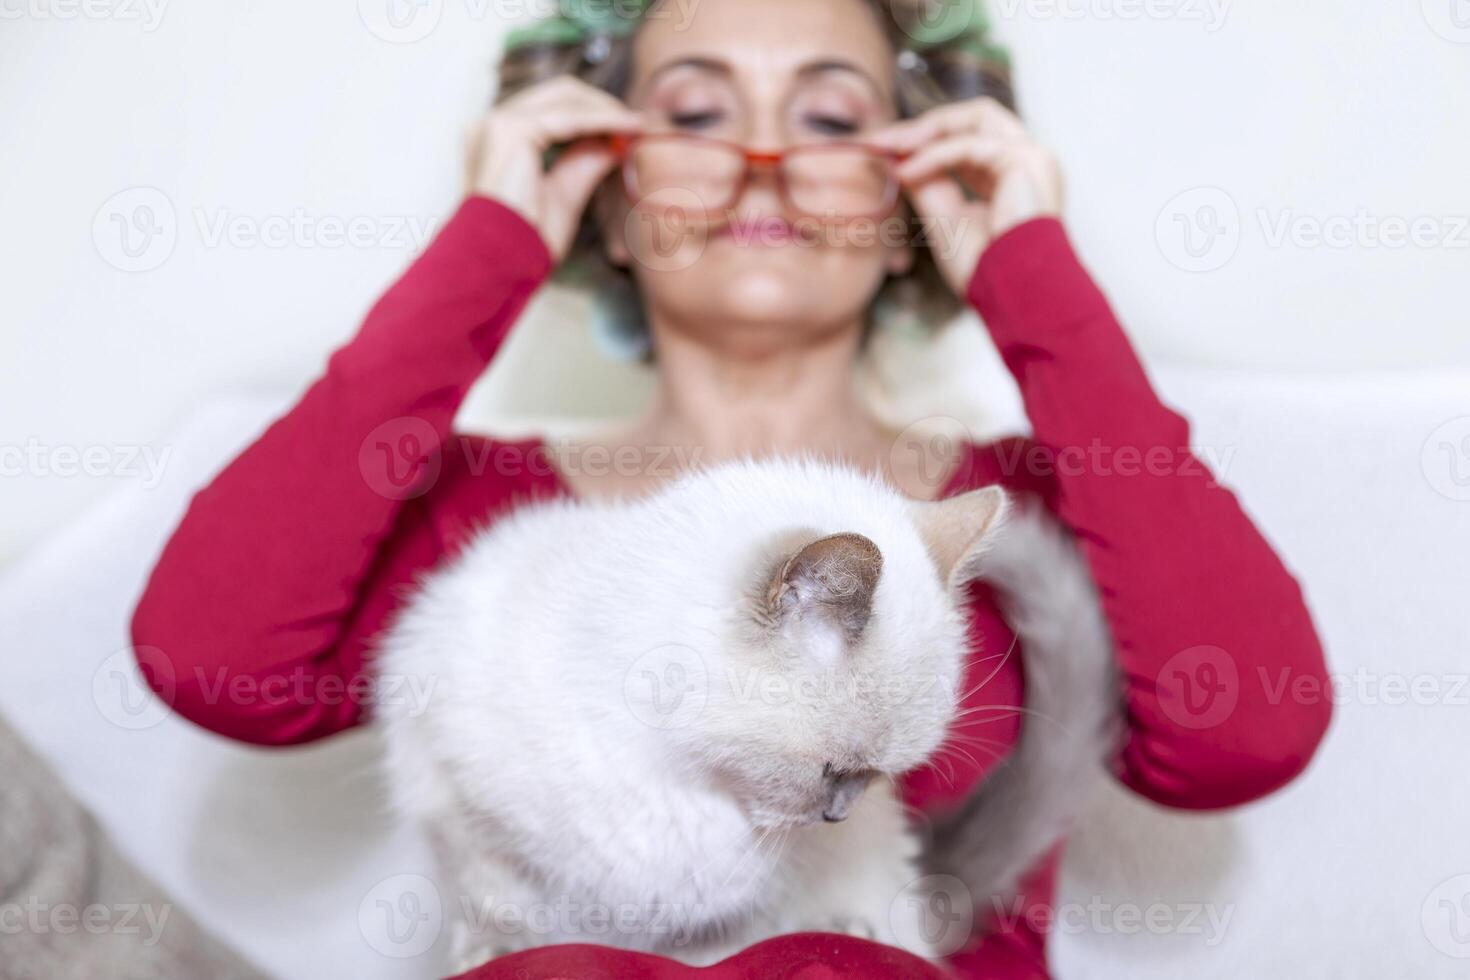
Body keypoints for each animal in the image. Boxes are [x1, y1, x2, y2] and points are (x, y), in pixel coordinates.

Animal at [370, 458, 1111, 963]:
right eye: (834, 769)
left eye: (874, 779)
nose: (837, 816)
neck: (684, 783)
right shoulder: (456, 796)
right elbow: (496, 903)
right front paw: (494, 953)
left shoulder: (735, 910)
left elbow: (719, 949)